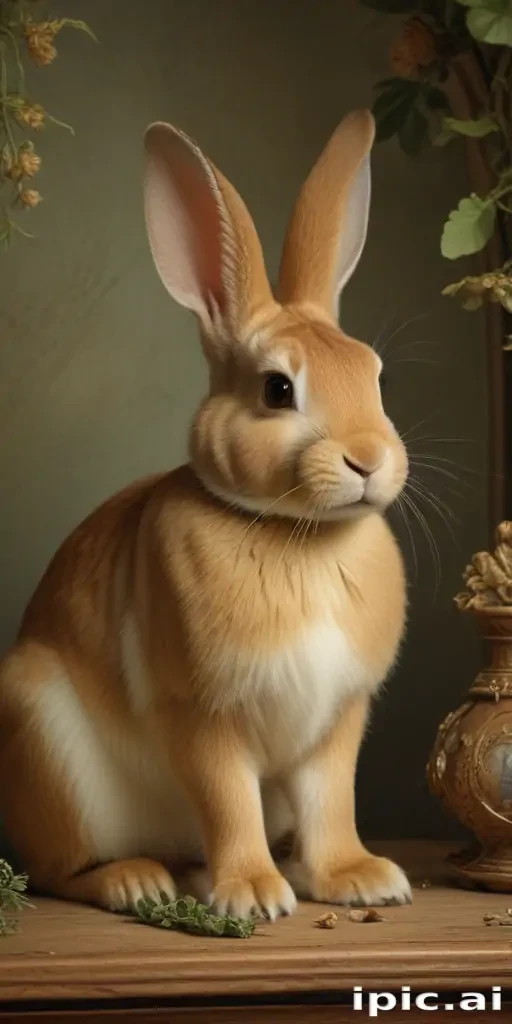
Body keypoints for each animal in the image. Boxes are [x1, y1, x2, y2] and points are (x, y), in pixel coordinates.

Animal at [0, 108, 411, 920]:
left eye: (375, 377)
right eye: (278, 390)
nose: (369, 459)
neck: (297, 535)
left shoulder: (336, 723)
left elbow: (332, 803)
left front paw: (359, 878)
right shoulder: (201, 715)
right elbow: (228, 802)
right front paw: (253, 895)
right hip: (41, 740)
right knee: (61, 870)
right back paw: (137, 883)